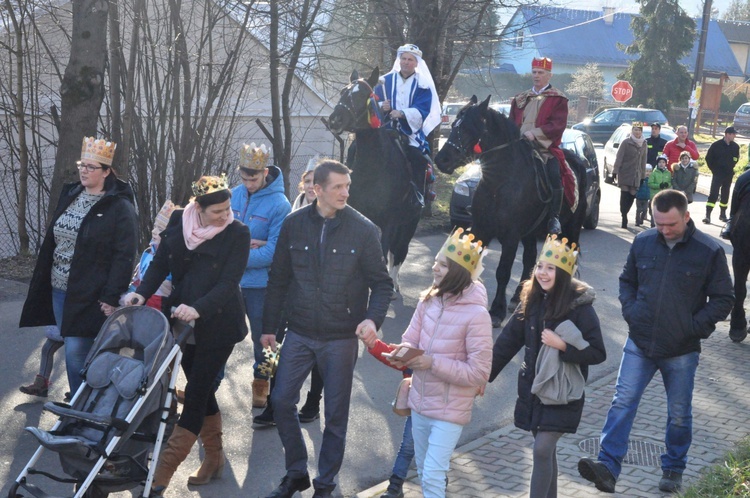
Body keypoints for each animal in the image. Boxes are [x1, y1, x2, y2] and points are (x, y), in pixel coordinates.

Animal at [328, 67, 426, 292]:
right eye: (343, 92)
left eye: (362, 95)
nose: (335, 120)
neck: (374, 168)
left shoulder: (389, 223)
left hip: (409, 222)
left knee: (399, 252)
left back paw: (395, 284)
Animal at [438, 95, 592, 324]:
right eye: (454, 124)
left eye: (466, 128)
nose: (441, 160)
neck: (499, 181)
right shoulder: (481, 230)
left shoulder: (510, 236)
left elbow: (503, 271)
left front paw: (496, 310)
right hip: (529, 233)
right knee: (530, 259)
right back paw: (518, 296)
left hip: (571, 229)